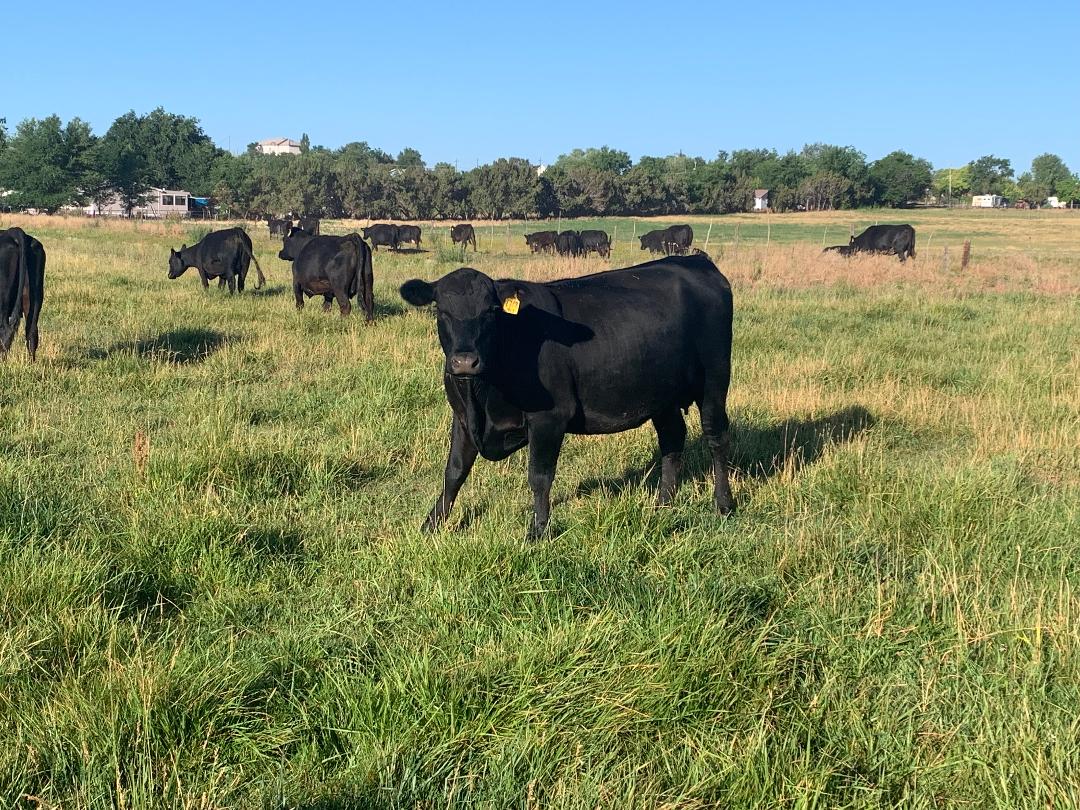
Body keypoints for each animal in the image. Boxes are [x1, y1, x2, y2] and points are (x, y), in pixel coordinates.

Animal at [399, 252, 735, 539]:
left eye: (491, 312)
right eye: (441, 311)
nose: (465, 361)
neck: (482, 398)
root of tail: (696, 261)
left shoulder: (549, 417)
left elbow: (539, 476)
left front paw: (538, 531)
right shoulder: (462, 418)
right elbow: (454, 472)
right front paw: (431, 524)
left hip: (715, 378)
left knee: (716, 436)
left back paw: (724, 504)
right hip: (661, 392)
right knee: (672, 437)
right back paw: (663, 503)